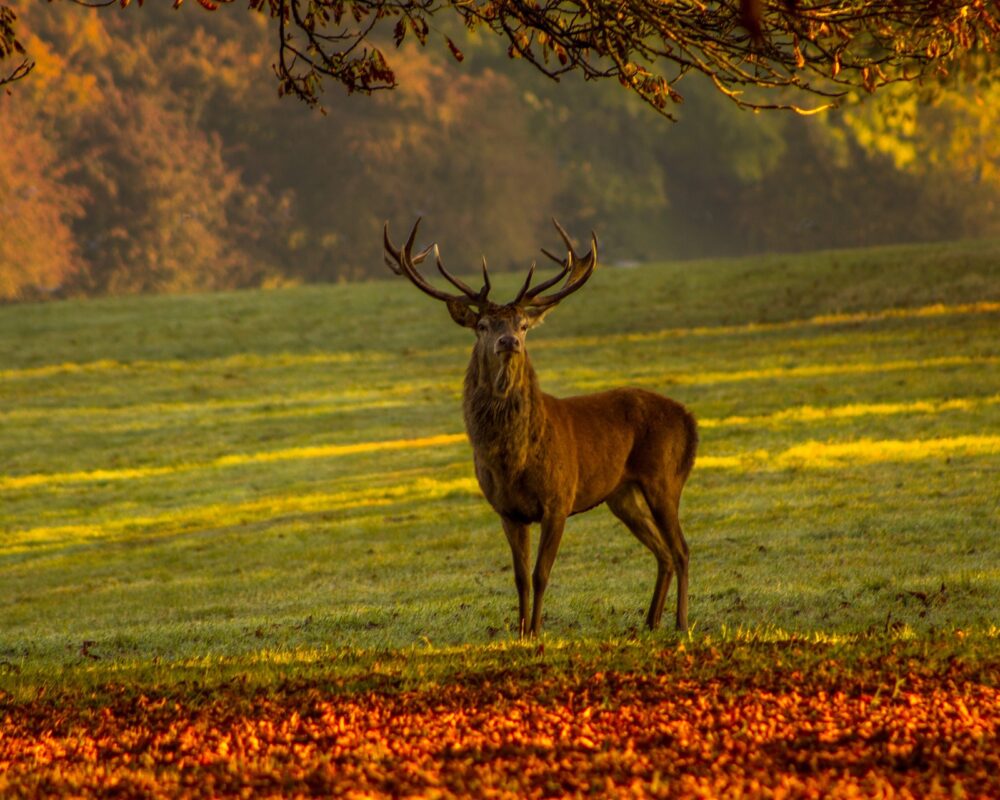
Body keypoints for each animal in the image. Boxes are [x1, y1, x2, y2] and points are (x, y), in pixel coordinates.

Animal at [383, 219, 698, 638]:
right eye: (482, 324)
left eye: (522, 324)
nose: (508, 341)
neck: (513, 460)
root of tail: (689, 419)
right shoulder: (507, 510)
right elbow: (519, 577)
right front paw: (519, 632)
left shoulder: (558, 500)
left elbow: (541, 573)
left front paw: (536, 631)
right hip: (622, 494)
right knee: (662, 551)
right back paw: (650, 621)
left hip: (664, 478)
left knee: (681, 548)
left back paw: (681, 622)